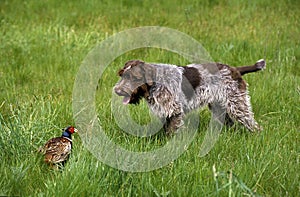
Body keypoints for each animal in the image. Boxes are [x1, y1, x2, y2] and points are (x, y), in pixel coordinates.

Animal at [113, 59, 264, 135]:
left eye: (134, 77)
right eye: (122, 75)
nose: (117, 91)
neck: (156, 83)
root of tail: (235, 70)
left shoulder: (174, 111)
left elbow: (171, 131)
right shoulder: (164, 112)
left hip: (237, 104)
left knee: (252, 124)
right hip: (220, 105)